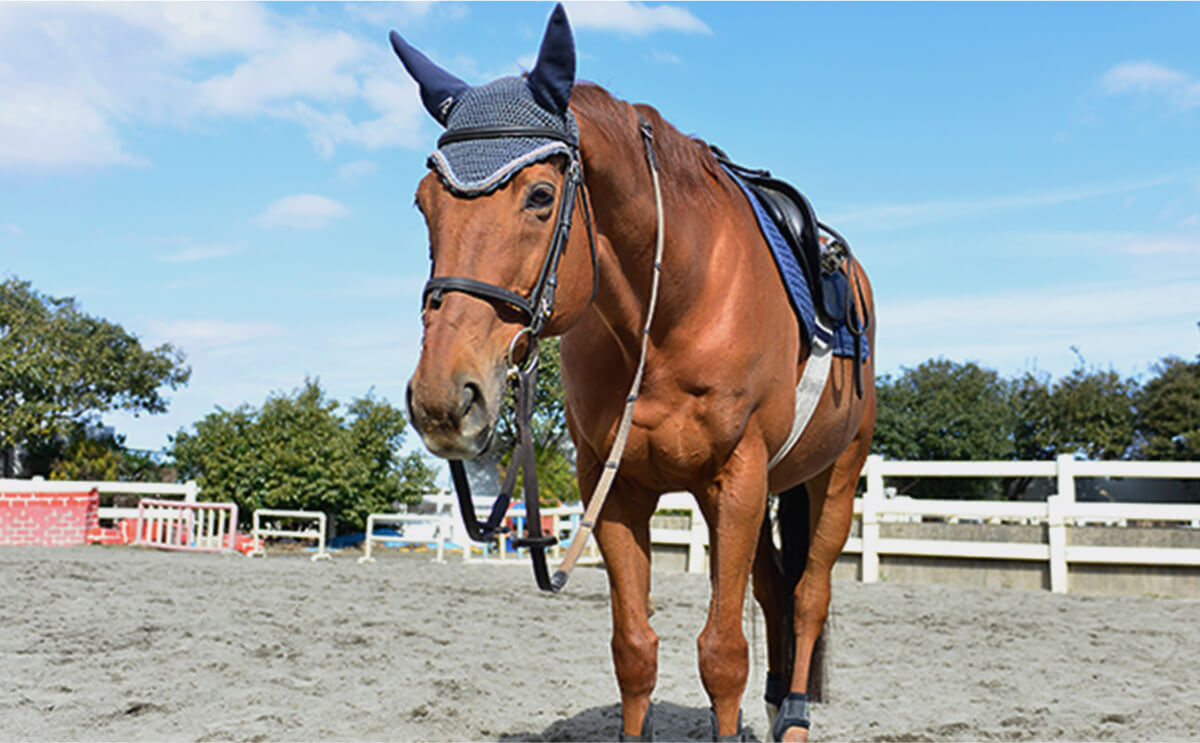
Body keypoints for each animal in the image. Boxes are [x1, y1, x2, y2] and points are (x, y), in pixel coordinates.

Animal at [393, 4, 873, 739]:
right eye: (424, 203)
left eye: (540, 196)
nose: (444, 398)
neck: (674, 302)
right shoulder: (615, 488)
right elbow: (635, 648)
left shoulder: (739, 478)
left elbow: (722, 652)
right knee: (772, 588)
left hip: (834, 477)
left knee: (810, 592)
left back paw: (792, 715)